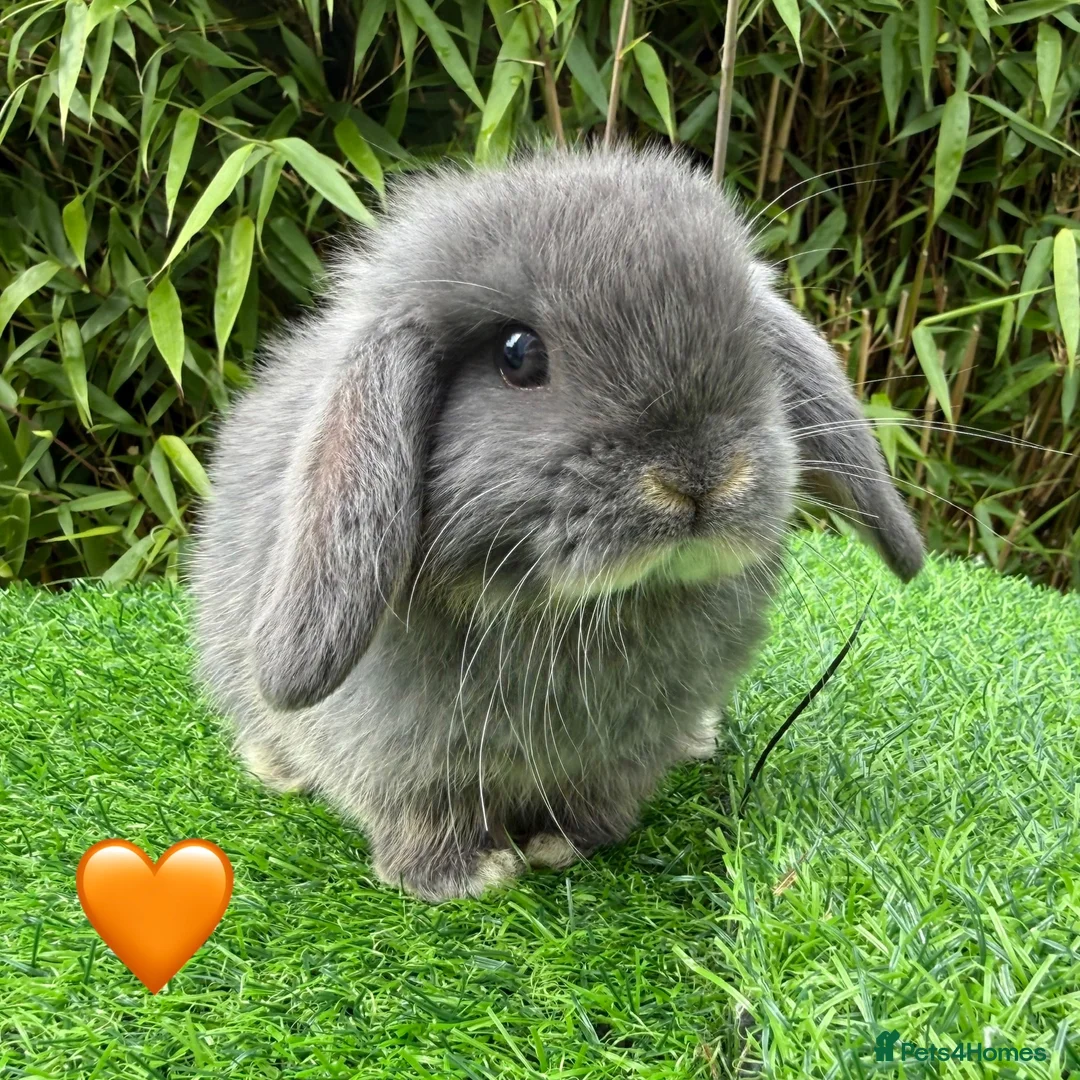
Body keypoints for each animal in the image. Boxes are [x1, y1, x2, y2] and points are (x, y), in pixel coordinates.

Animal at [188, 143, 923, 903]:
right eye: (517, 353)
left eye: (750, 341)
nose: (702, 478)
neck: (565, 610)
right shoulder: (395, 754)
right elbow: (420, 810)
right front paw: (464, 876)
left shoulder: (621, 756)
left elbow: (597, 800)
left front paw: (562, 846)